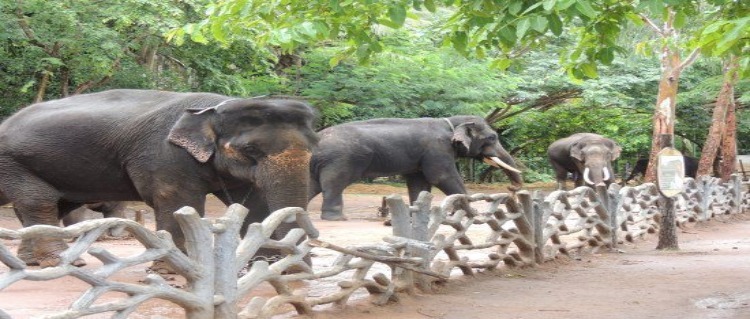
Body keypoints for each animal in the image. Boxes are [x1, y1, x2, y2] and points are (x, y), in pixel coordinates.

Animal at [0, 89, 318, 270]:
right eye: (250, 150)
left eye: (314, 145)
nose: (303, 269)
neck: (212, 109)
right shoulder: (165, 156)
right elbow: (176, 202)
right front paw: (175, 270)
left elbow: (255, 206)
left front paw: (267, 266)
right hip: (12, 162)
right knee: (39, 201)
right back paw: (58, 261)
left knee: (49, 205)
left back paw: (33, 261)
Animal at [308, 115, 524, 222]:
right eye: (492, 137)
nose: (512, 189)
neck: (450, 121)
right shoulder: (437, 149)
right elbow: (441, 177)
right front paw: (473, 214)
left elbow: (419, 182)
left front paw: (420, 215)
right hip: (341, 160)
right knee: (334, 184)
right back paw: (337, 218)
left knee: (313, 185)